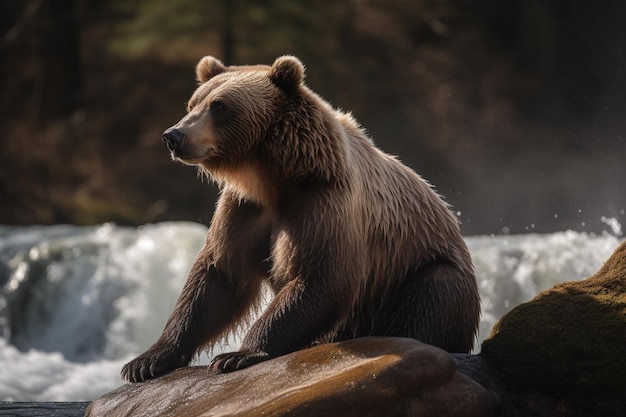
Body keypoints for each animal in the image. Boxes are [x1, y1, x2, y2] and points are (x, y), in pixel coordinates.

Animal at [119, 56, 478, 384]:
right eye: (193, 103)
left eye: (219, 106)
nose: (174, 135)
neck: (272, 178)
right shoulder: (243, 209)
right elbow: (218, 278)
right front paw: (145, 361)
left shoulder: (322, 201)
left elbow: (319, 275)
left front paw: (237, 354)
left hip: (415, 275)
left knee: (434, 292)